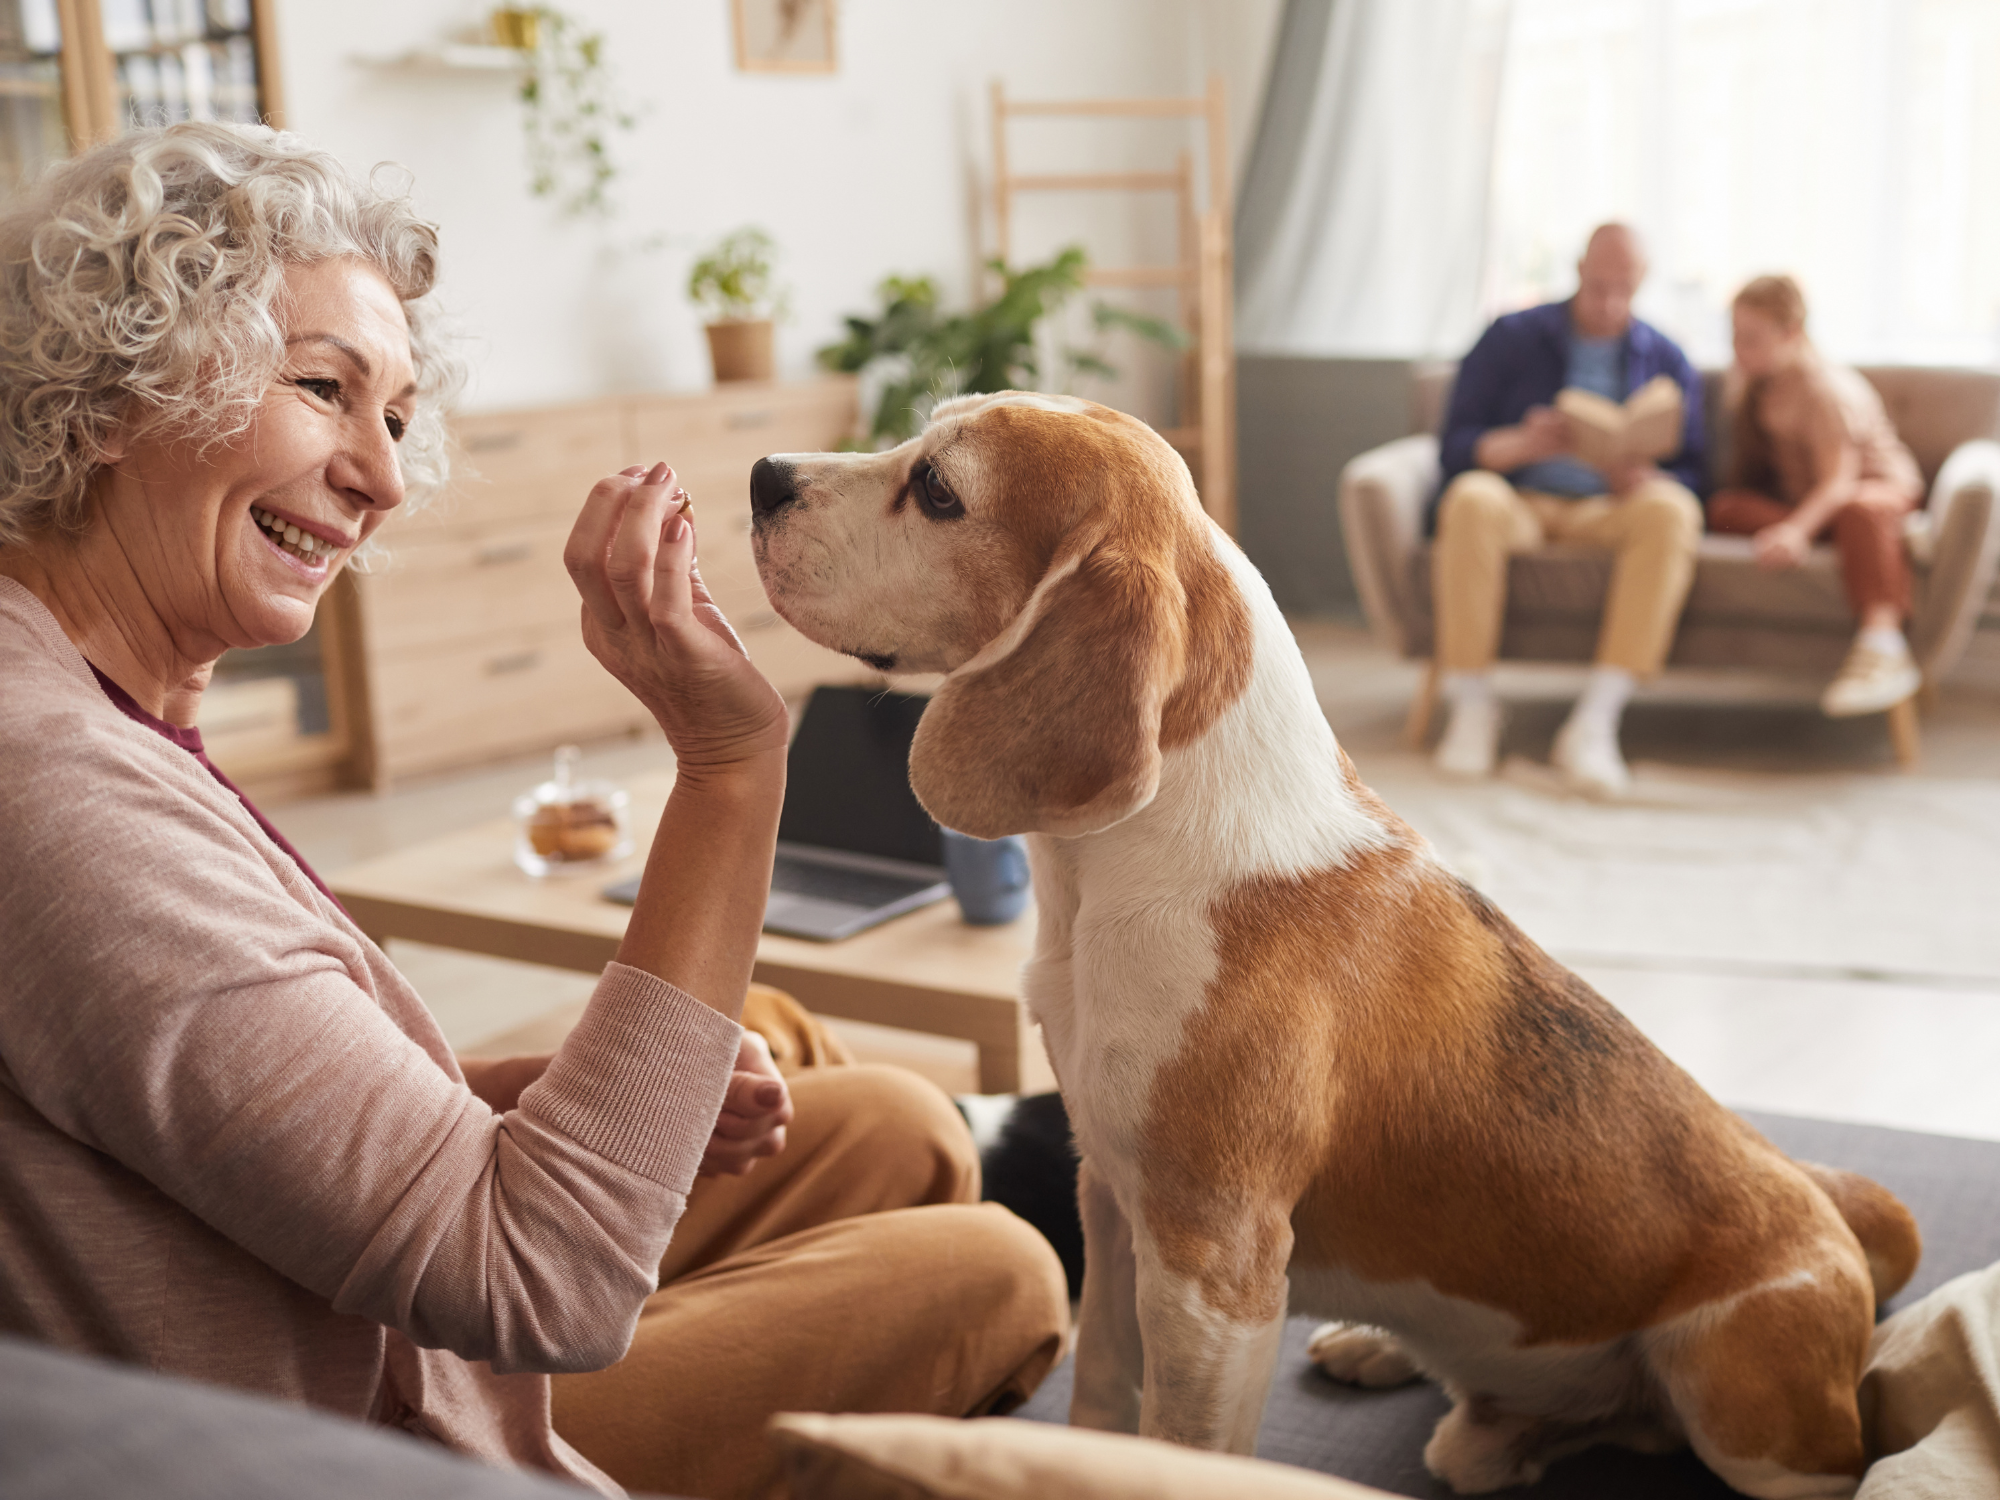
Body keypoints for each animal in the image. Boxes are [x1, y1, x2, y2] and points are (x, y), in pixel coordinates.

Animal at [748, 394, 1920, 1496]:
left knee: (1767, 1447)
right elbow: (1101, 1401)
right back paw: (1420, 1379)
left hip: (1740, 1405)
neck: (1120, 875)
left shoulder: (1211, 1274)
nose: (761, 475)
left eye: (938, 491)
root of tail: (1821, 1205)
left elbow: (1179, 1447)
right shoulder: (1114, 1203)